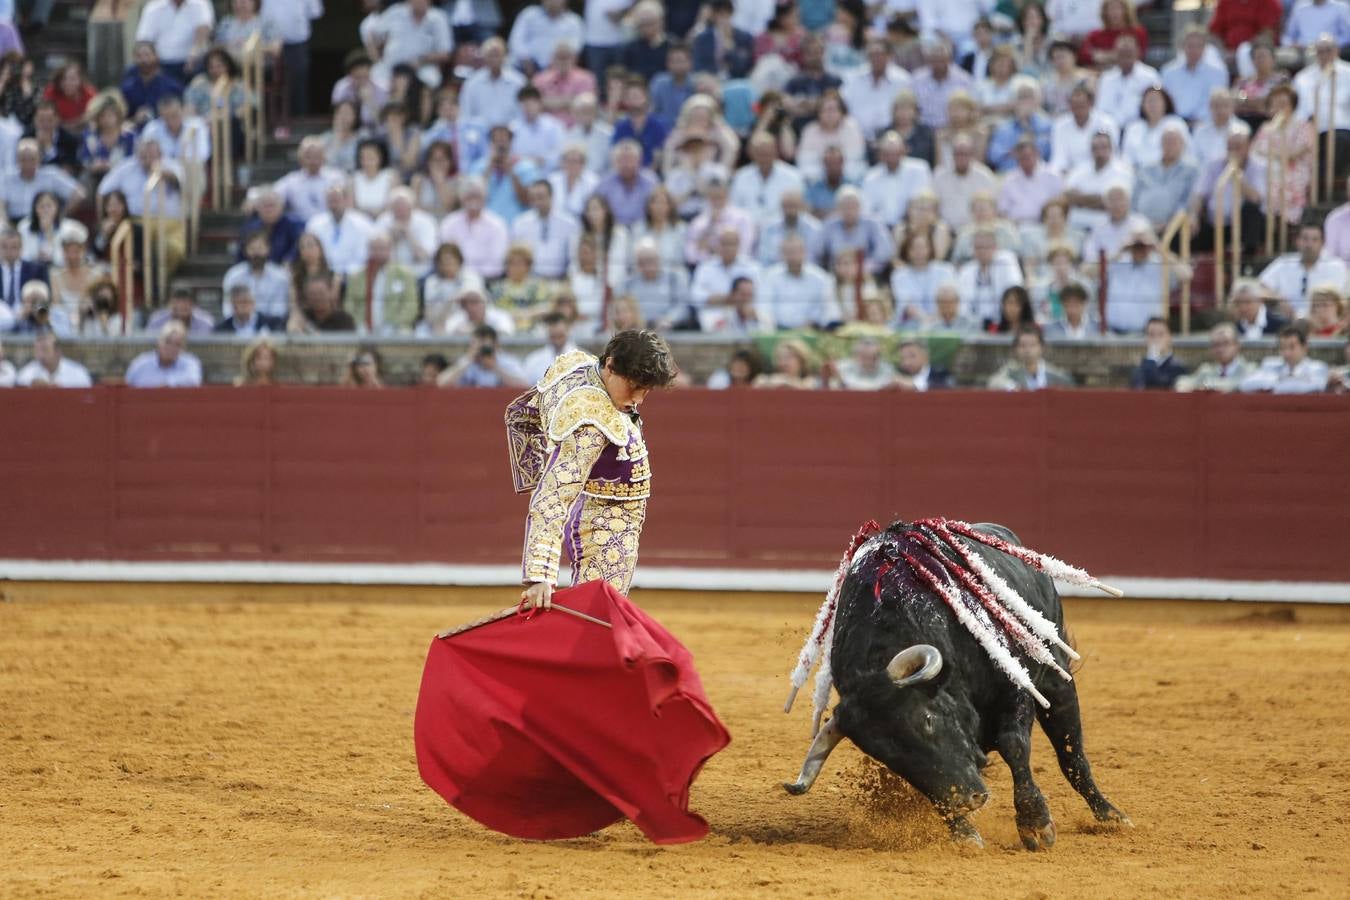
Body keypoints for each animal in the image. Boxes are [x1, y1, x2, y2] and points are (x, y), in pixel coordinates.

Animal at [783, 523, 1128, 847]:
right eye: (888, 758)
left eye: (928, 720)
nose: (966, 800)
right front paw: (963, 833)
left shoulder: (1013, 688)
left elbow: (1015, 745)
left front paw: (1035, 824)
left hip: (1056, 674)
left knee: (1071, 752)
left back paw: (1110, 814)